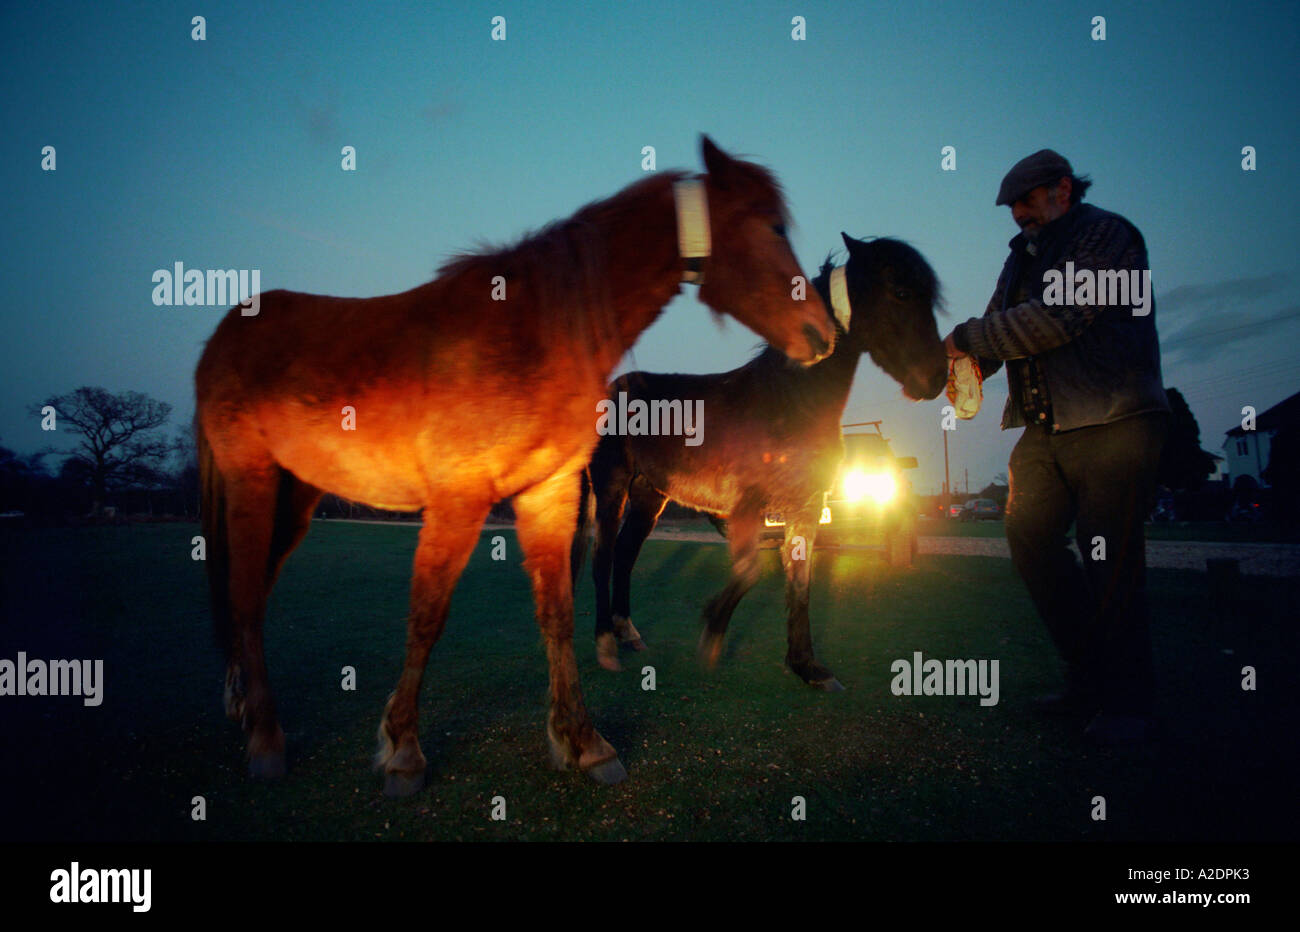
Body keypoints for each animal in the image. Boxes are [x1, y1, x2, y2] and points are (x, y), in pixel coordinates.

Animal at [197, 136, 837, 790]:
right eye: (772, 225)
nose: (822, 332)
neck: (532, 329)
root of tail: (224, 334)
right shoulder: (458, 499)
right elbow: (427, 616)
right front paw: (403, 748)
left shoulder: (548, 492)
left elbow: (557, 613)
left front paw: (584, 742)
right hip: (252, 483)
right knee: (245, 593)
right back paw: (265, 735)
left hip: (294, 498)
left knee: (253, 589)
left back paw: (242, 703)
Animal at [579, 232, 946, 681]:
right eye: (900, 291)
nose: (936, 377)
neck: (789, 401)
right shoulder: (747, 505)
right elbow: (750, 570)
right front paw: (711, 632)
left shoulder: (806, 506)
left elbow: (800, 581)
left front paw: (808, 667)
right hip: (612, 486)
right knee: (603, 558)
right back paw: (606, 646)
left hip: (649, 496)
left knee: (626, 556)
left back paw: (629, 635)